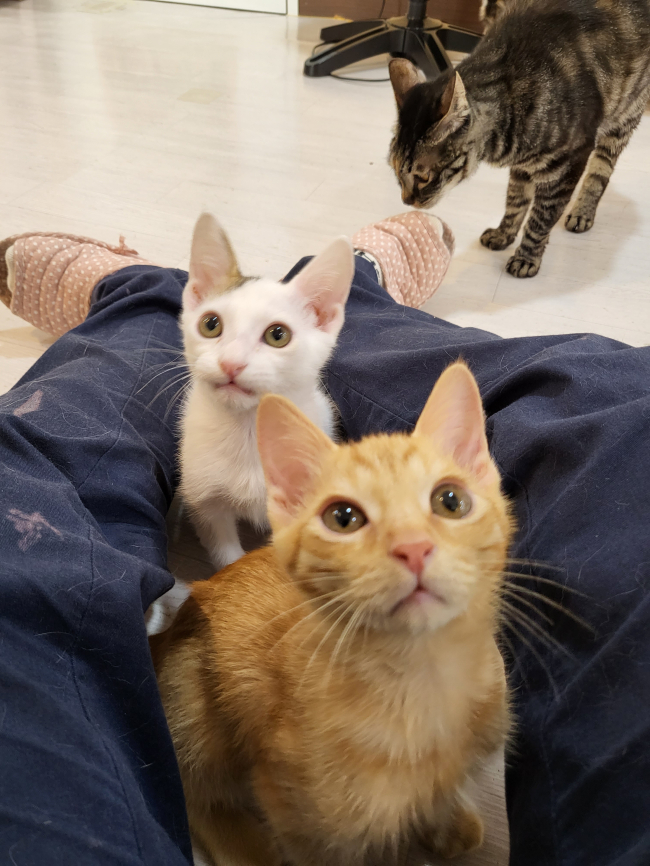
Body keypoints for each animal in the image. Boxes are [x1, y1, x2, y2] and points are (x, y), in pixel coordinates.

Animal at [151, 362, 514, 866]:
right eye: (343, 518)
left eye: (450, 501)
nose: (413, 548)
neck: (422, 683)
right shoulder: (288, 802)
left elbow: (436, 798)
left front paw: (445, 825)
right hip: (192, 700)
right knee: (194, 790)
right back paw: (246, 848)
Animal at [179, 213, 353, 567]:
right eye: (210, 324)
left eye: (277, 335)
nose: (231, 363)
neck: (247, 428)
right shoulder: (206, 503)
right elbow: (226, 554)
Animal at [388, 0, 650, 278]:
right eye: (395, 172)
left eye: (423, 177)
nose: (406, 200)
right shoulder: (523, 165)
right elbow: (515, 202)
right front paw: (503, 234)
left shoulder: (569, 163)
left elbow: (540, 219)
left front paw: (527, 257)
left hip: (623, 118)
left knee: (600, 173)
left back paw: (582, 213)